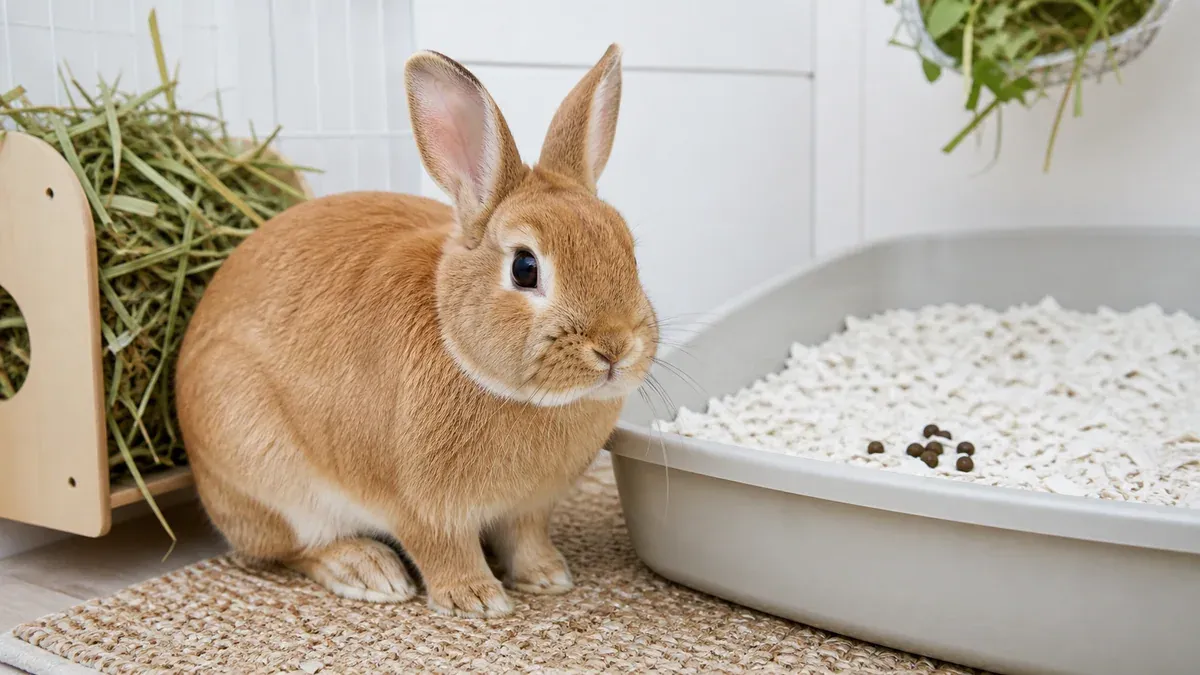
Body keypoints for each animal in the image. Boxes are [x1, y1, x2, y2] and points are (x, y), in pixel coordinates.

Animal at [174, 44, 657, 618]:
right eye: (525, 268)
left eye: (629, 251)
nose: (615, 348)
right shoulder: (421, 507)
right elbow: (442, 549)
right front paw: (476, 599)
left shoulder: (529, 508)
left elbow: (526, 538)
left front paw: (547, 576)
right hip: (268, 478)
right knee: (293, 548)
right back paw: (368, 571)